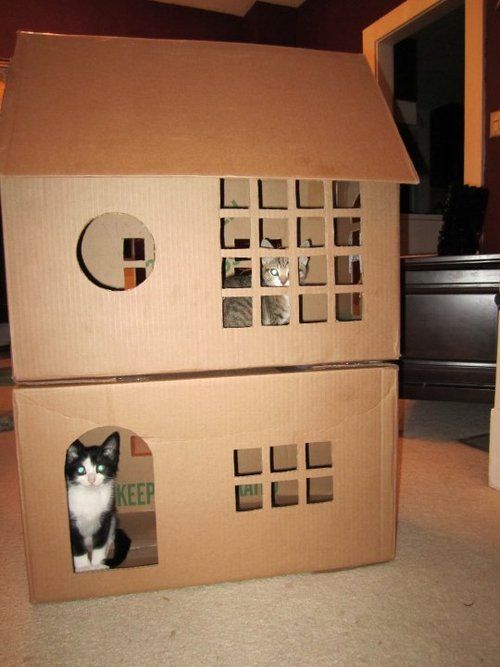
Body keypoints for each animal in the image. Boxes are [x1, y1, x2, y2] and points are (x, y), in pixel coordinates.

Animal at [65, 434, 131, 576]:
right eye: (81, 470)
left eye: (100, 468)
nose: (91, 480)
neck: (90, 496)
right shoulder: (71, 519)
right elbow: (77, 543)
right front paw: (83, 568)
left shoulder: (106, 515)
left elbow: (101, 540)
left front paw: (97, 565)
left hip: (113, 517)